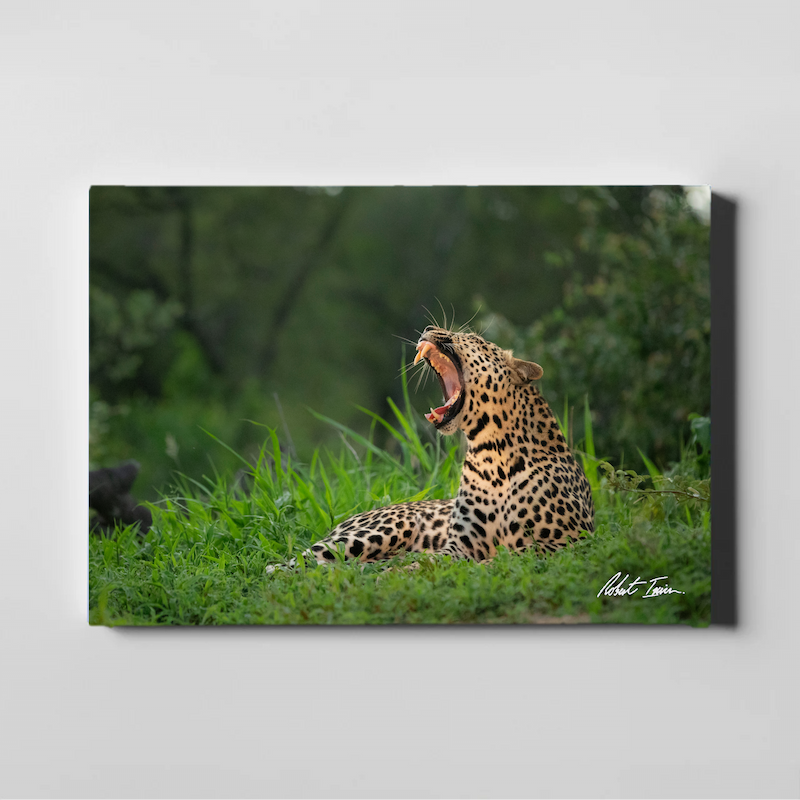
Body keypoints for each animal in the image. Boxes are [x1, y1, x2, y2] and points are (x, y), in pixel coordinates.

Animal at [267, 324, 594, 572]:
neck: (492, 453)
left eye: (474, 339)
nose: (427, 328)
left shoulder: (571, 540)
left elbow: (515, 554)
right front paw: (398, 572)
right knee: (286, 564)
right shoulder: (460, 545)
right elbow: (431, 561)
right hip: (382, 529)